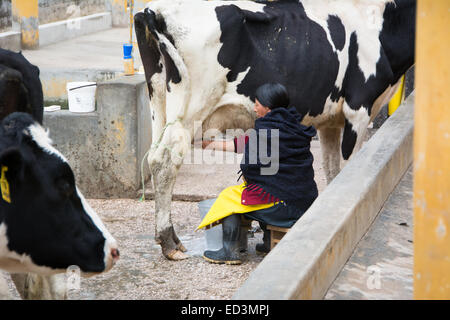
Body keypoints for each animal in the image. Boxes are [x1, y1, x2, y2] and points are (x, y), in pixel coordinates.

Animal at [135, 0, 416, 260]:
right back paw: (169, 242)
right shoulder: (357, 109)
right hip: (190, 105)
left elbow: (332, 170)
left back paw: (171, 239)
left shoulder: (330, 121)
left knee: (153, 155)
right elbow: (347, 168)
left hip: (158, 101)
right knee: (166, 160)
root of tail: (153, 9)